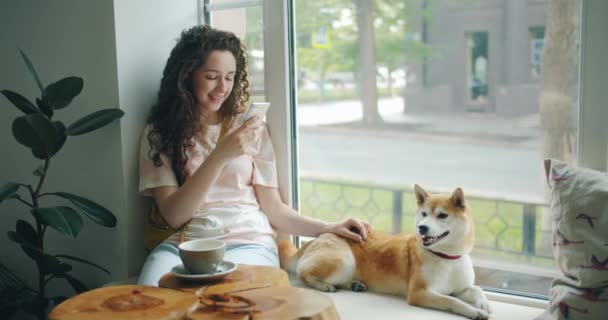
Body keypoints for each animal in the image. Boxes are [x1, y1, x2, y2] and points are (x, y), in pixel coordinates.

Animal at [278, 184, 492, 318]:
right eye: (424, 214)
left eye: (442, 216)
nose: (422, 228)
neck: (446, 257)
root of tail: (318, 237)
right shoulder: (419, 293)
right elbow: (452, 301)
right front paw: (474, 312)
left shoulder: (461, 287)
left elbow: (476, 289)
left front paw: (484, 304)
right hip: (344, 261)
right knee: (302, 273)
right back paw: (323, 285)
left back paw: (355, 285)